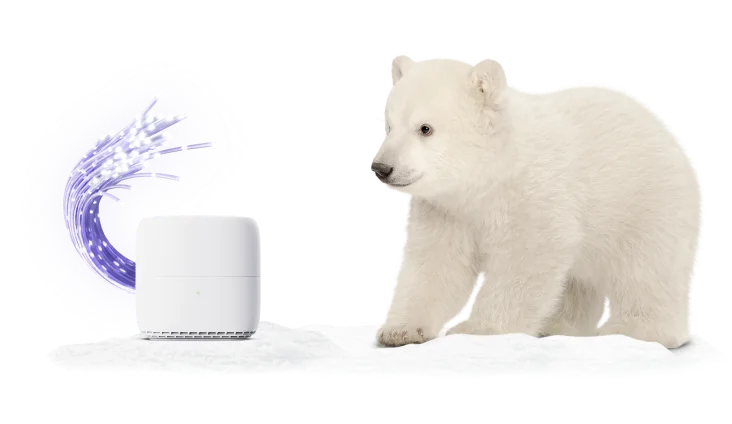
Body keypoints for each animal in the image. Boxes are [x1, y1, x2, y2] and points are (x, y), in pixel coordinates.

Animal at [373, 56, 704, 349]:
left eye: (425, 128)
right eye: (389, 125)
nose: (381, 167)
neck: (494, 172)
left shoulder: (533, 194)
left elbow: (526, 261)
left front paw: (476, 330)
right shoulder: (447, 209)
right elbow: (436, 265)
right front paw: (400, 331)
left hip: (648, 202)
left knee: (649, 270)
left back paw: (635, 330)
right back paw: (557, 327)